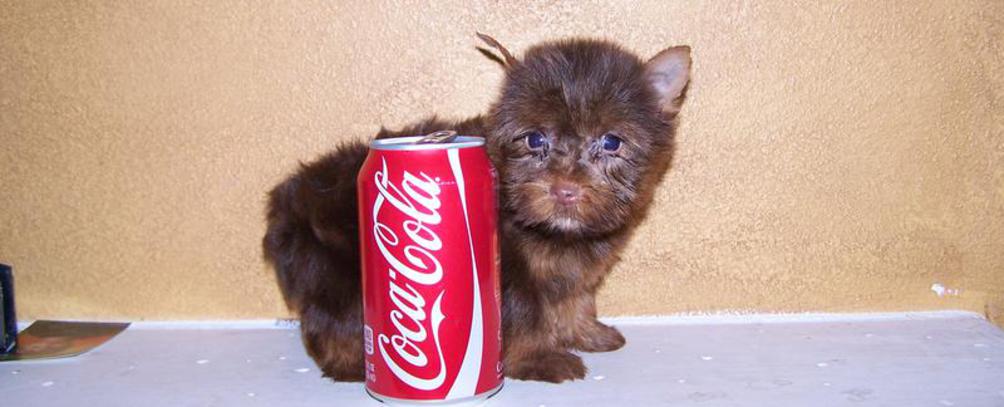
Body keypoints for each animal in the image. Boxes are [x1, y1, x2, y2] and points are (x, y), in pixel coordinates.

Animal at [263, 36, 694, 381]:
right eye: (534, 139)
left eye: (611, 142)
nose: (565, 191)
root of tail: (288, 201)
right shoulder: (510, 268)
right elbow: (523, 312)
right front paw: (537, 359)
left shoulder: (571, 267)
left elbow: (574, 294)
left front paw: (583, 331)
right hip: (334, 267)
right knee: (333, 320)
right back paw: (354, 364)